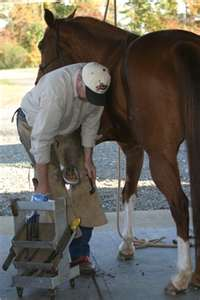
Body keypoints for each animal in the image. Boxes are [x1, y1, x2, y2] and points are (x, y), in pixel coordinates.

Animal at [36, 8, 200, 296]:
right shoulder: (133, 148)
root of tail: (183, 45)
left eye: (41, 45)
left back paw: (182, 276)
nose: (38, 82)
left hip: (161, 156)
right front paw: (127, 245)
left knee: (180, 204)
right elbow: (128, 193)